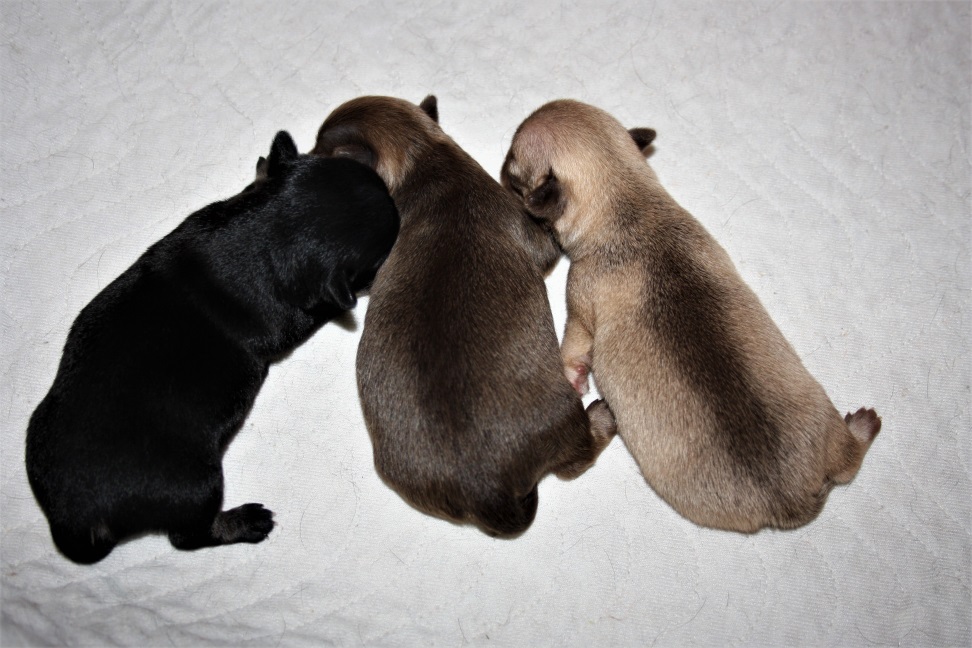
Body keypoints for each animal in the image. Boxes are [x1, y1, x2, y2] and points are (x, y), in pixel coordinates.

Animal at [25, 131, 399, 563]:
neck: (267, 234)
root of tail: (80, 519)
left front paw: (262, 170)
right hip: (198, 486)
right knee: (187, 536)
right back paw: (245, 522)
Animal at [312, 95, 616, 536]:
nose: (299, 161)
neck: (424, 158)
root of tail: (490, 493)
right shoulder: (531, 235)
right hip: (565, 418)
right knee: (580, 455)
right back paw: (603, 416)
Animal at [501, 99, 881, 532]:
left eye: (512, 170)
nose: (499, 166)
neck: (628, 204)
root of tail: (793, 502)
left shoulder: (579, 307)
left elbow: (574, 346)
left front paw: (573, 378)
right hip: (823, 420)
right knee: (849, 461)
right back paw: (863, 427)